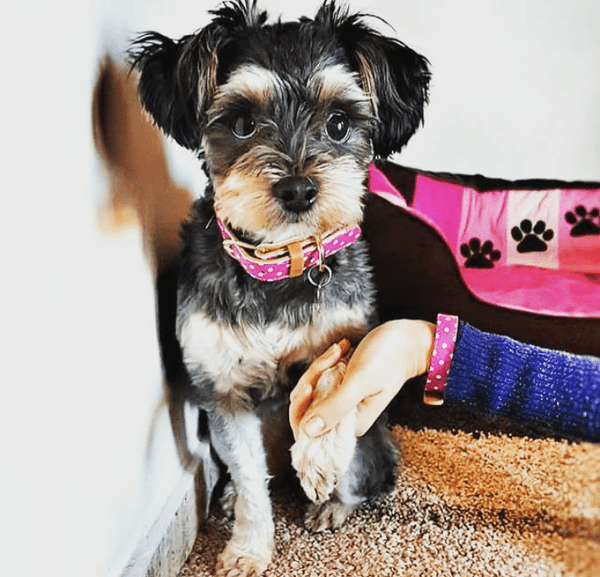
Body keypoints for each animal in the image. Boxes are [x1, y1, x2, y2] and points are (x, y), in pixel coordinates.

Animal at [132, 2, 432, 572]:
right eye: (242, 123)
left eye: (338, 123)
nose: (298, 190)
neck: (278, 266)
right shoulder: (223, 389)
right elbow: (252, 479)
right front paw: (249, 548)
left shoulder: (349, 337)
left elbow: (334, 385)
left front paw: (319, 458)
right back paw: (230, 496)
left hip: (374, 447)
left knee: (364, 478)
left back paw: (332, 502)